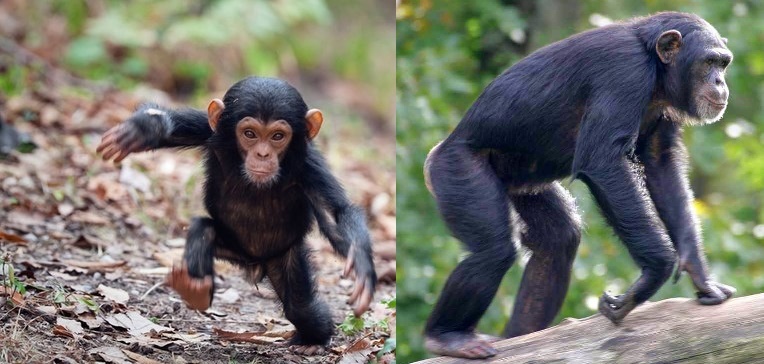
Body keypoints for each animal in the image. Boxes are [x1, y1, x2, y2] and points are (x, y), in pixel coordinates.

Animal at [97, 77, 374, 356]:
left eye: (278, 136)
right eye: (249, 134)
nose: (262, 154)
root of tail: (254, 264)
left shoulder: (310, 166)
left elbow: (336, 213)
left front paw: (362, 267)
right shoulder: (215, 132)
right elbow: (177, 127)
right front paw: (142, 129)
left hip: (283, 256)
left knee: (302, 309)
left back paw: (312, 340)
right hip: (231, 249)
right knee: (204, 229)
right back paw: (195, 289)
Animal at [424, 11, 736, 358]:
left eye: (723, 63)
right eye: (708, 62)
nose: (720, 82)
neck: (655, 68)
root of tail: (437, 152)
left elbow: (661, 164)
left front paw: (698, 272)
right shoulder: (623, 71)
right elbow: (602, 160)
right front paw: (652, 275)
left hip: (522, 184)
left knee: (560, 239)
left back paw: (521, 337)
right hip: (457, 170)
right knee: (493, 250)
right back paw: (447, 336)